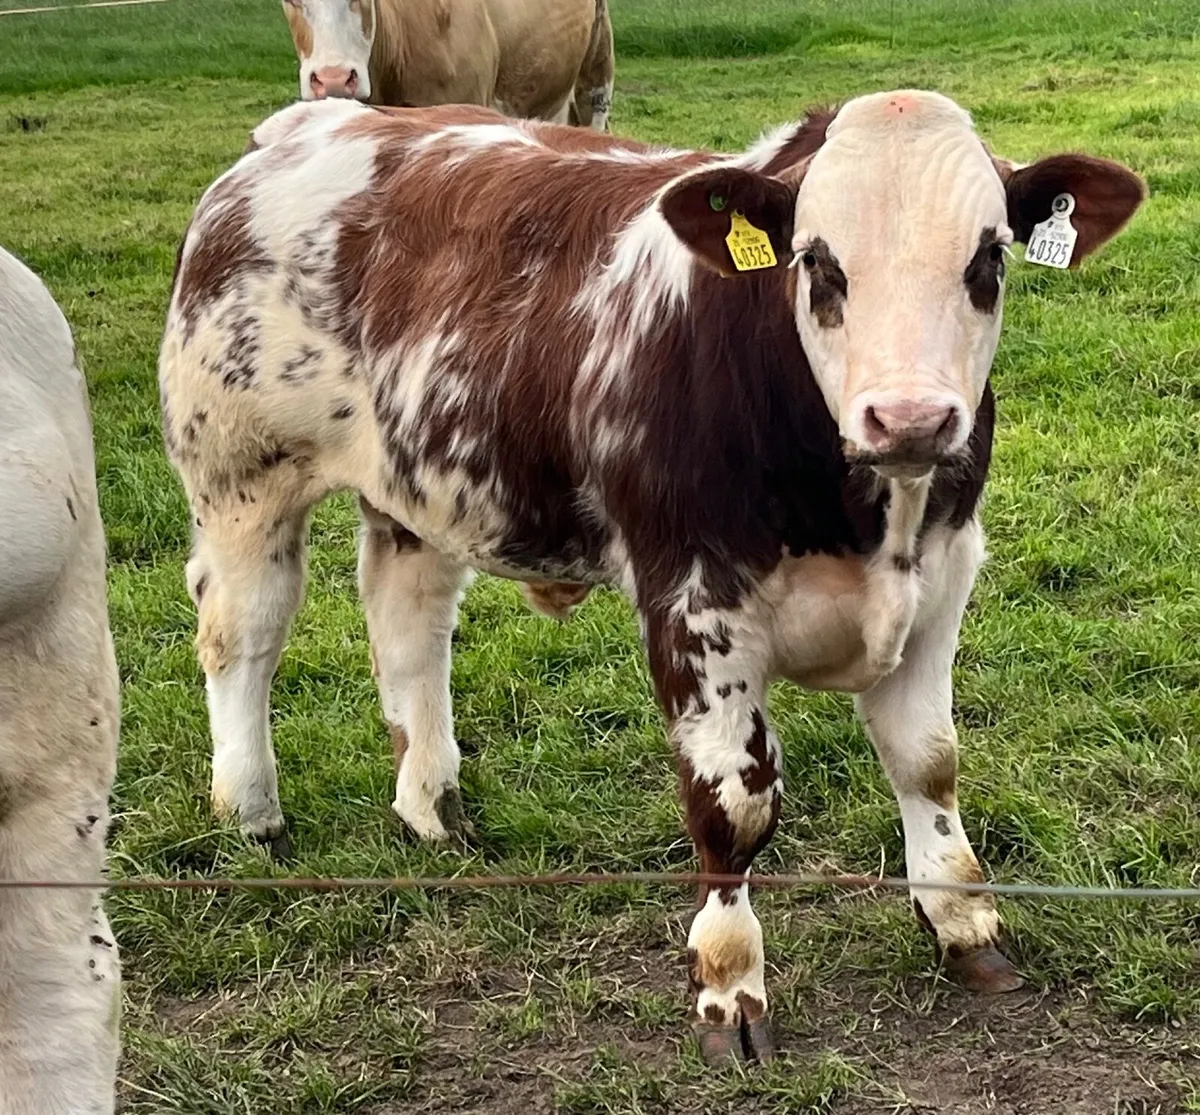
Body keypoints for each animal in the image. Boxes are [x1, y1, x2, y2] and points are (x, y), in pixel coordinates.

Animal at [159, 92, 1145, 1062]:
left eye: (989, 257)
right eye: (818, 261)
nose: (908, 417)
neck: (859, 510)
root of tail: (319, 121)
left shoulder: (941, 578)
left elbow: (930, 764)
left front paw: (963, 919)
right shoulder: (693, 601)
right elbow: (734, 805)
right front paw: (729, 982)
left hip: (414, 482)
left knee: (408, 621)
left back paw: (432, 804)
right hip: (239, 476)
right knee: (243, 635)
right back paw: (250, 809)